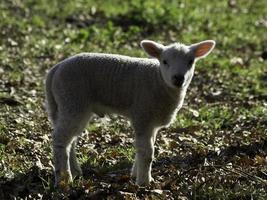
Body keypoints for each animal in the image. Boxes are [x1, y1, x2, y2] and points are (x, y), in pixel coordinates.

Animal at [45, 39, 217, 188]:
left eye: (191, 62)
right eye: (164, 61)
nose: (178, 78)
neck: (158, 80)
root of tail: (55, 69)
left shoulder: (151, 122)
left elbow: (143, 148)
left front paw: (137, 174)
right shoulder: (142, 114)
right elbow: (147, 152)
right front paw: (144, 182)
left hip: (70, 106)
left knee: (71, 140)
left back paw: (75, 171)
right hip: (72, 100)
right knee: (60, 139)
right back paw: (64, 180)